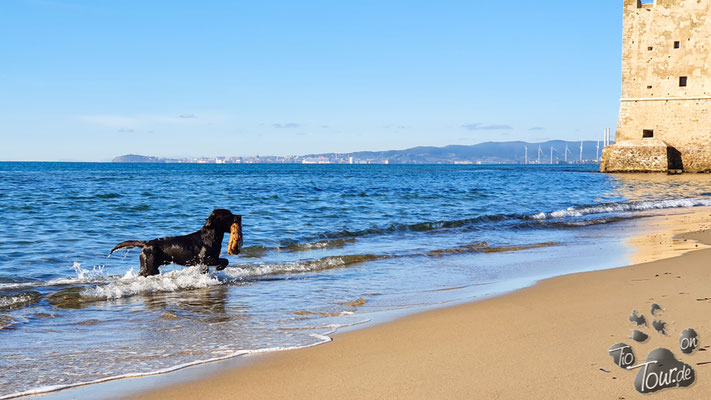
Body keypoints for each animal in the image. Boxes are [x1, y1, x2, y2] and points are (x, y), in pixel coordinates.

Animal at [110, 208, 243, 276]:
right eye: (229, 214)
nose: (240, 216)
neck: (210, 236)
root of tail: (147, 243)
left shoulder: (204, 263)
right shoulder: (206, 259)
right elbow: (225, 260)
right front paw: (219, 268)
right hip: (148, 267)